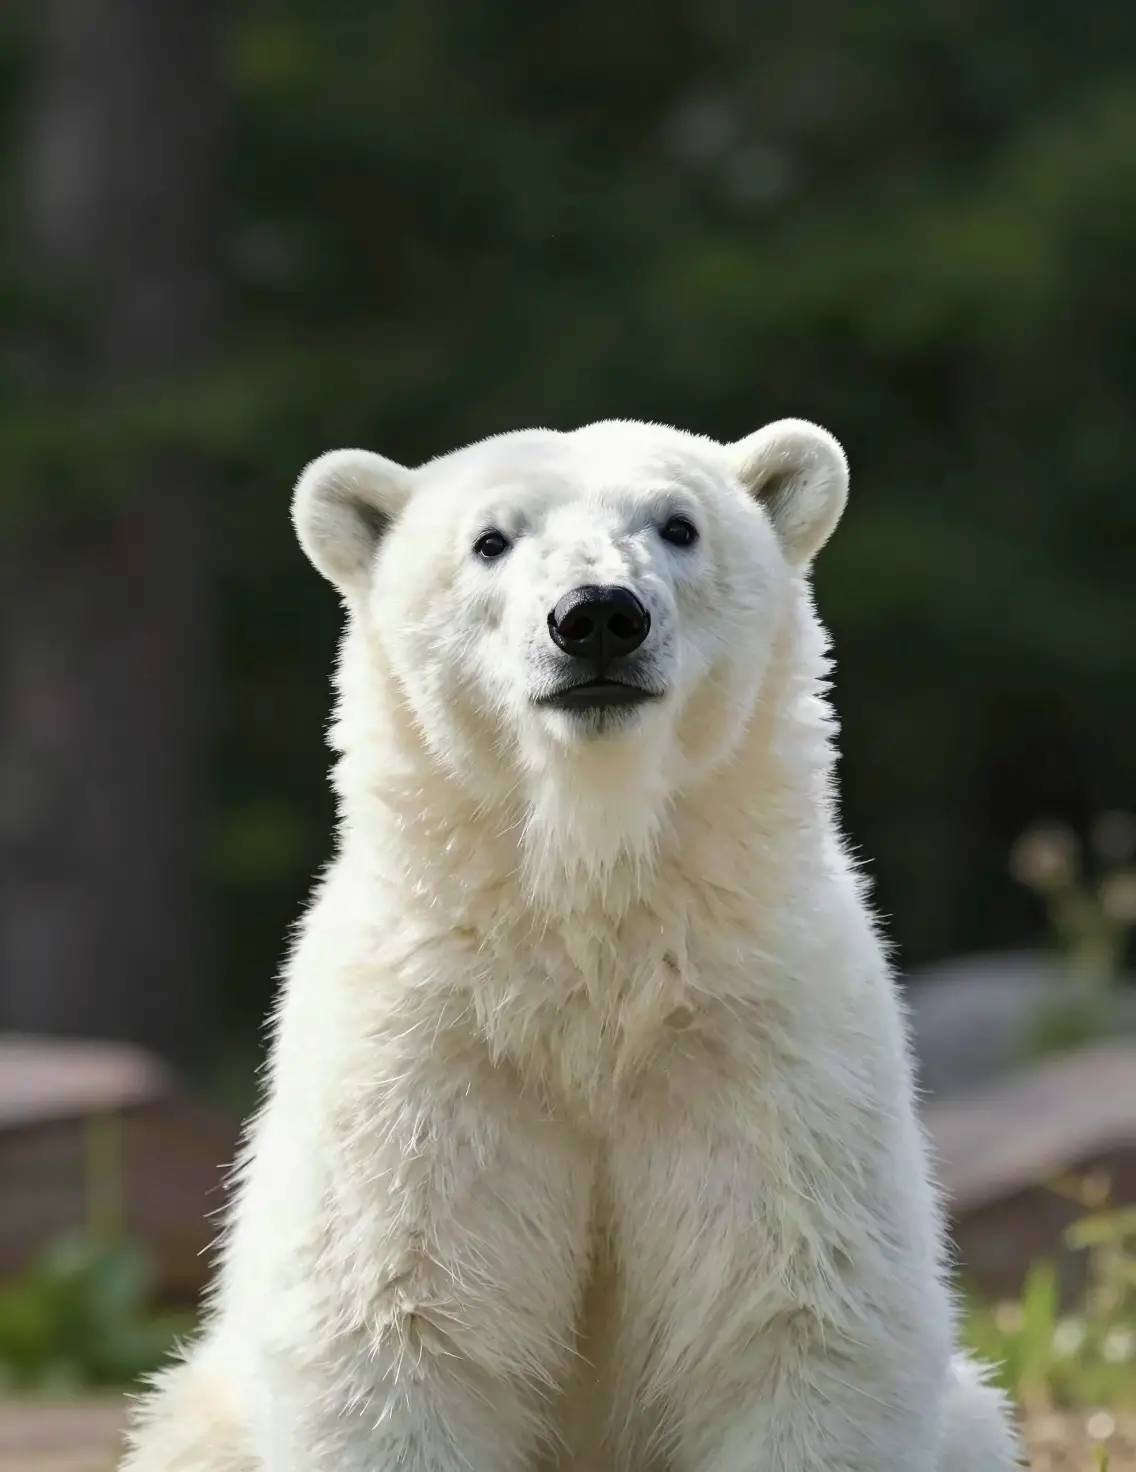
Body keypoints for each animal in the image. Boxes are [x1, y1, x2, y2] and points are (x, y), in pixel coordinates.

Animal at [121, 418, 1020, 1472]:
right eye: (490, 540)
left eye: (679, 524)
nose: (596, 617)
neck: (589, 920)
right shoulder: (429, 1048)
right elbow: (399, 1317)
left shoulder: (764, 1034)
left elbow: (789, 1310)